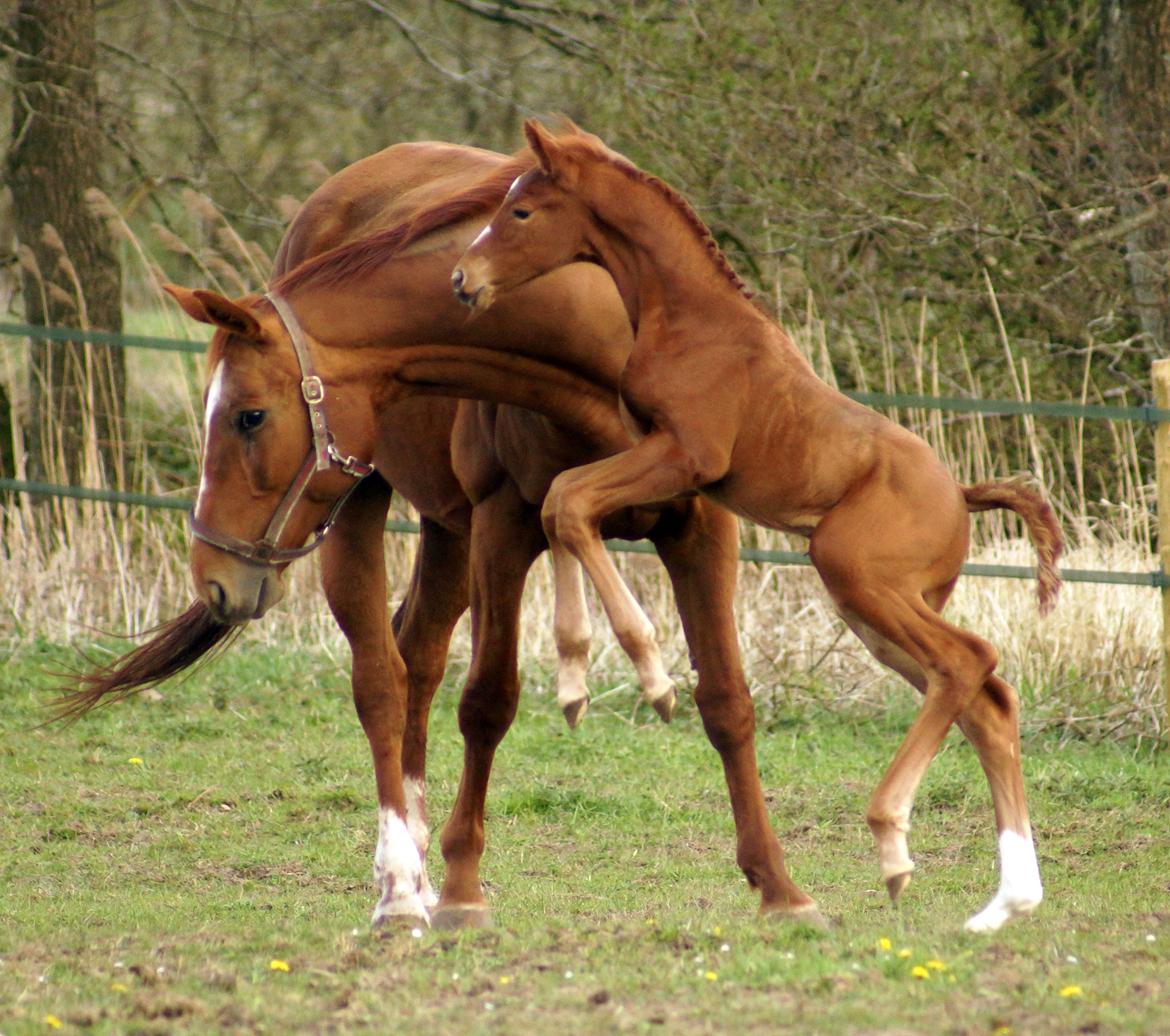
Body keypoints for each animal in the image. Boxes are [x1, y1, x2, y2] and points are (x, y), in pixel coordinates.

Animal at [86, 139, 828, 931]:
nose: (215, 576)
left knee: (418, 656)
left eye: (248, 416)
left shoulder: (701, 528)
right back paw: (401, 889)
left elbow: (726, 700)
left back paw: (415, 860)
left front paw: (780, 888)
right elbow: (489, 702)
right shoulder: (504, 529)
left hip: (447, 531)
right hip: (361, 507)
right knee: (382, 679)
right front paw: (464, 888)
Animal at [451, 119, 1067, 931]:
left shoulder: (686, 457)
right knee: (985, 699)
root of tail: (959, 494)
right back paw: (1002, 901)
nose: (462, 280)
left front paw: (651, 673)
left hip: (856, 577)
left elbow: (570, 501)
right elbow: (559, 502)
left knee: (969, 662)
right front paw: (578, 675)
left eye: (521, 212)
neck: (692, 319)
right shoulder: (651, 457)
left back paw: (893, 839)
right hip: (880, 609)